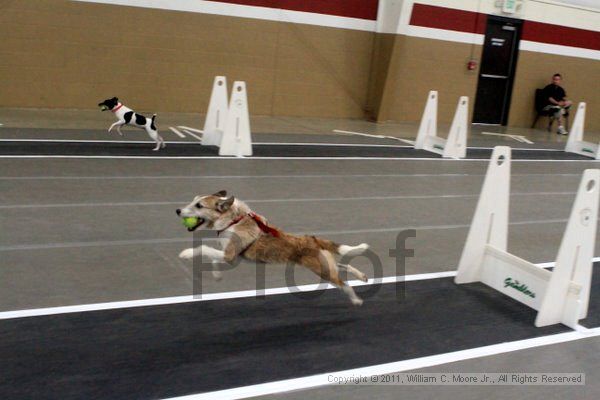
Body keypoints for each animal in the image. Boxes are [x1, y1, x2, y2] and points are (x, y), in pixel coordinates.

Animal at [176, 192, 368, 304]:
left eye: (199, 206)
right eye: (193, 200)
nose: (177, 210)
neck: (233, 220)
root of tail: (313, 239)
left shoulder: (229, 255)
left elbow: (203, 248)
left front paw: (186, 253)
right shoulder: (229, 257)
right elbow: (213, 258)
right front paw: (217, 275)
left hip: (323, 270)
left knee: (344, 284)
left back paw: (356, 299)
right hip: (325, 265)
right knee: (343, 265)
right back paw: (362, 276)